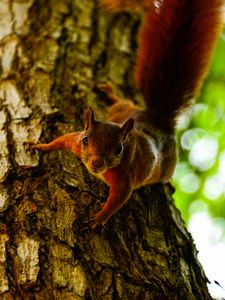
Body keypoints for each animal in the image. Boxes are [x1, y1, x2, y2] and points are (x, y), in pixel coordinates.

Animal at [25, 0, 222, 229]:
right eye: (86, 140)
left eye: (119, 149)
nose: (96, 164)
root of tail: (158, 117)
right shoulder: (74, 141)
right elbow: (60, 140)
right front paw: (39, 146)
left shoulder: (124, 178)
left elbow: (117, 200)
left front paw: (98, 219)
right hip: (123, 109)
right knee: (123, 101)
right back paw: (110, 93)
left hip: (168, 165)